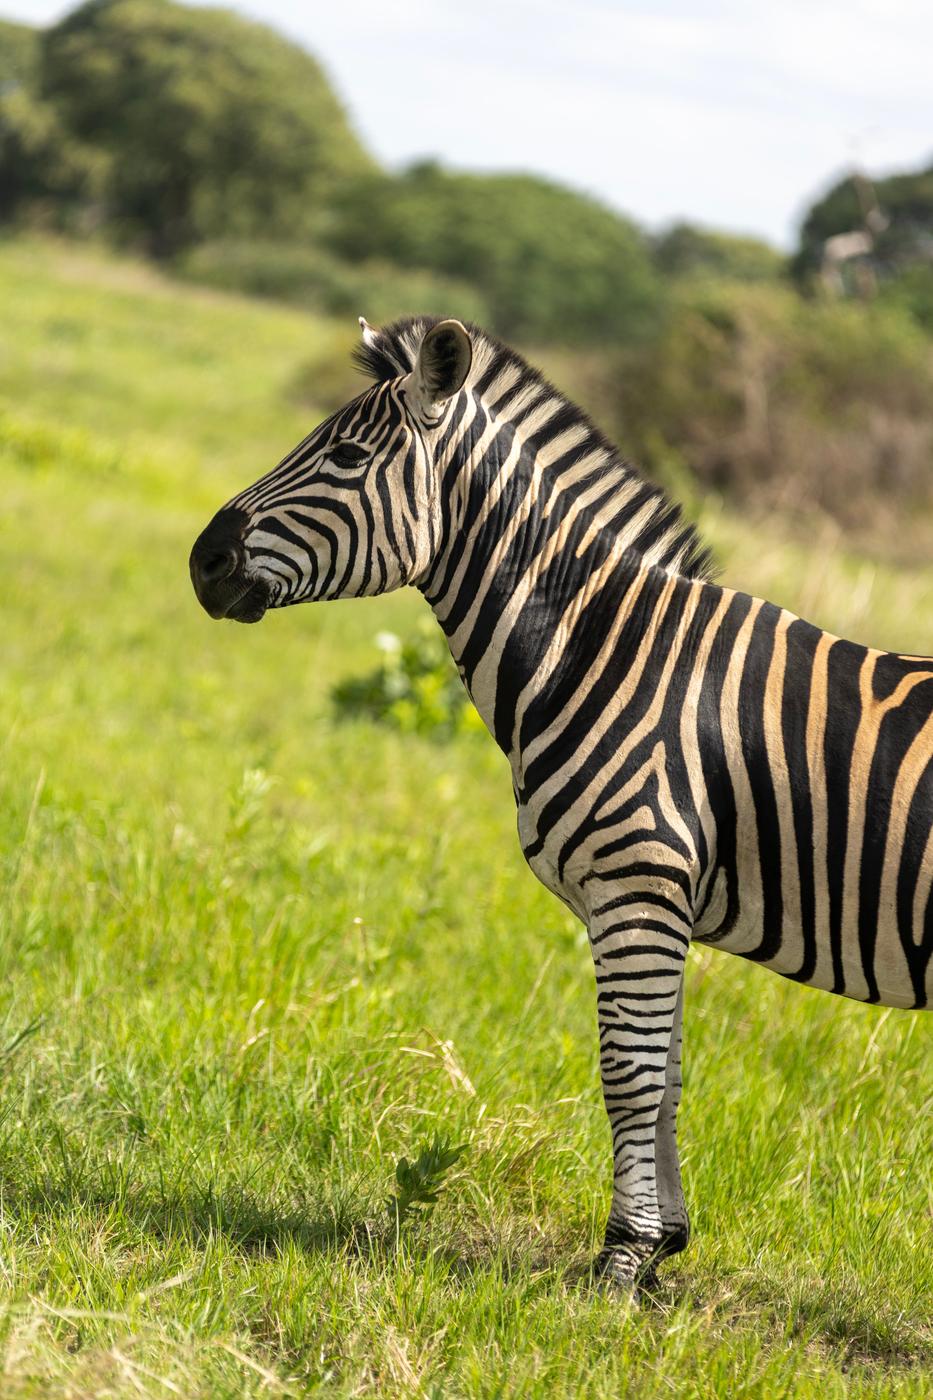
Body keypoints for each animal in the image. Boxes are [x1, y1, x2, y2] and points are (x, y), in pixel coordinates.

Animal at [190, 315, 932, 1291]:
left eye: (346, 456)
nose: (202, 563)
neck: (602, 646)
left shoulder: (636, 887)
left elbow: (630, 1073)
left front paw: (621, 1261)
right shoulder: (659, 906)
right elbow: (669, 1074)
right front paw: (662, 1249)